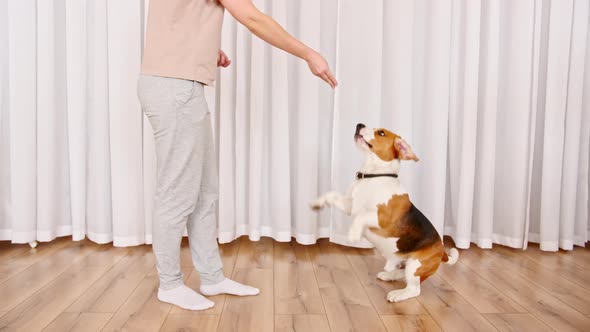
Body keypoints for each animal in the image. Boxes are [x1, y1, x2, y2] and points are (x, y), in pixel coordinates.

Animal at [312, 123, 460, 302]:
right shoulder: (349, 206)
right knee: (402, 273)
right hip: (406, 263)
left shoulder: (381, 218)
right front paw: (317, 202)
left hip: (415, 264)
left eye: (381, 133)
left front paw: (353, 234)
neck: (373, 176)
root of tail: (442, 251)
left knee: (414, 289)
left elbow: (361, 217)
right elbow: (331, 195)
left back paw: (398, 294)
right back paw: (390, 275)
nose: (359, 124)